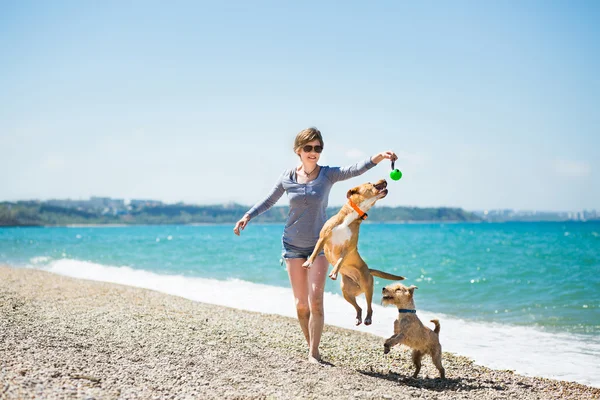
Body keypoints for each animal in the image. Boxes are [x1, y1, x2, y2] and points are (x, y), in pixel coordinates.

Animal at [302, 180, 406, 326]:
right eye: (369, 182)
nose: (385, 180)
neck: (352, 216)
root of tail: (369, 270)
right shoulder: (323, 238)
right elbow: (315, 251)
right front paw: (308, 262)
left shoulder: (348, 248)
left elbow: (340, 260)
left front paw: (334, 272)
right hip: (346, 292)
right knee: (359, 307)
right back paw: (358, 317)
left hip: (367, 287)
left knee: (369, 307)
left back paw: (367, 319)